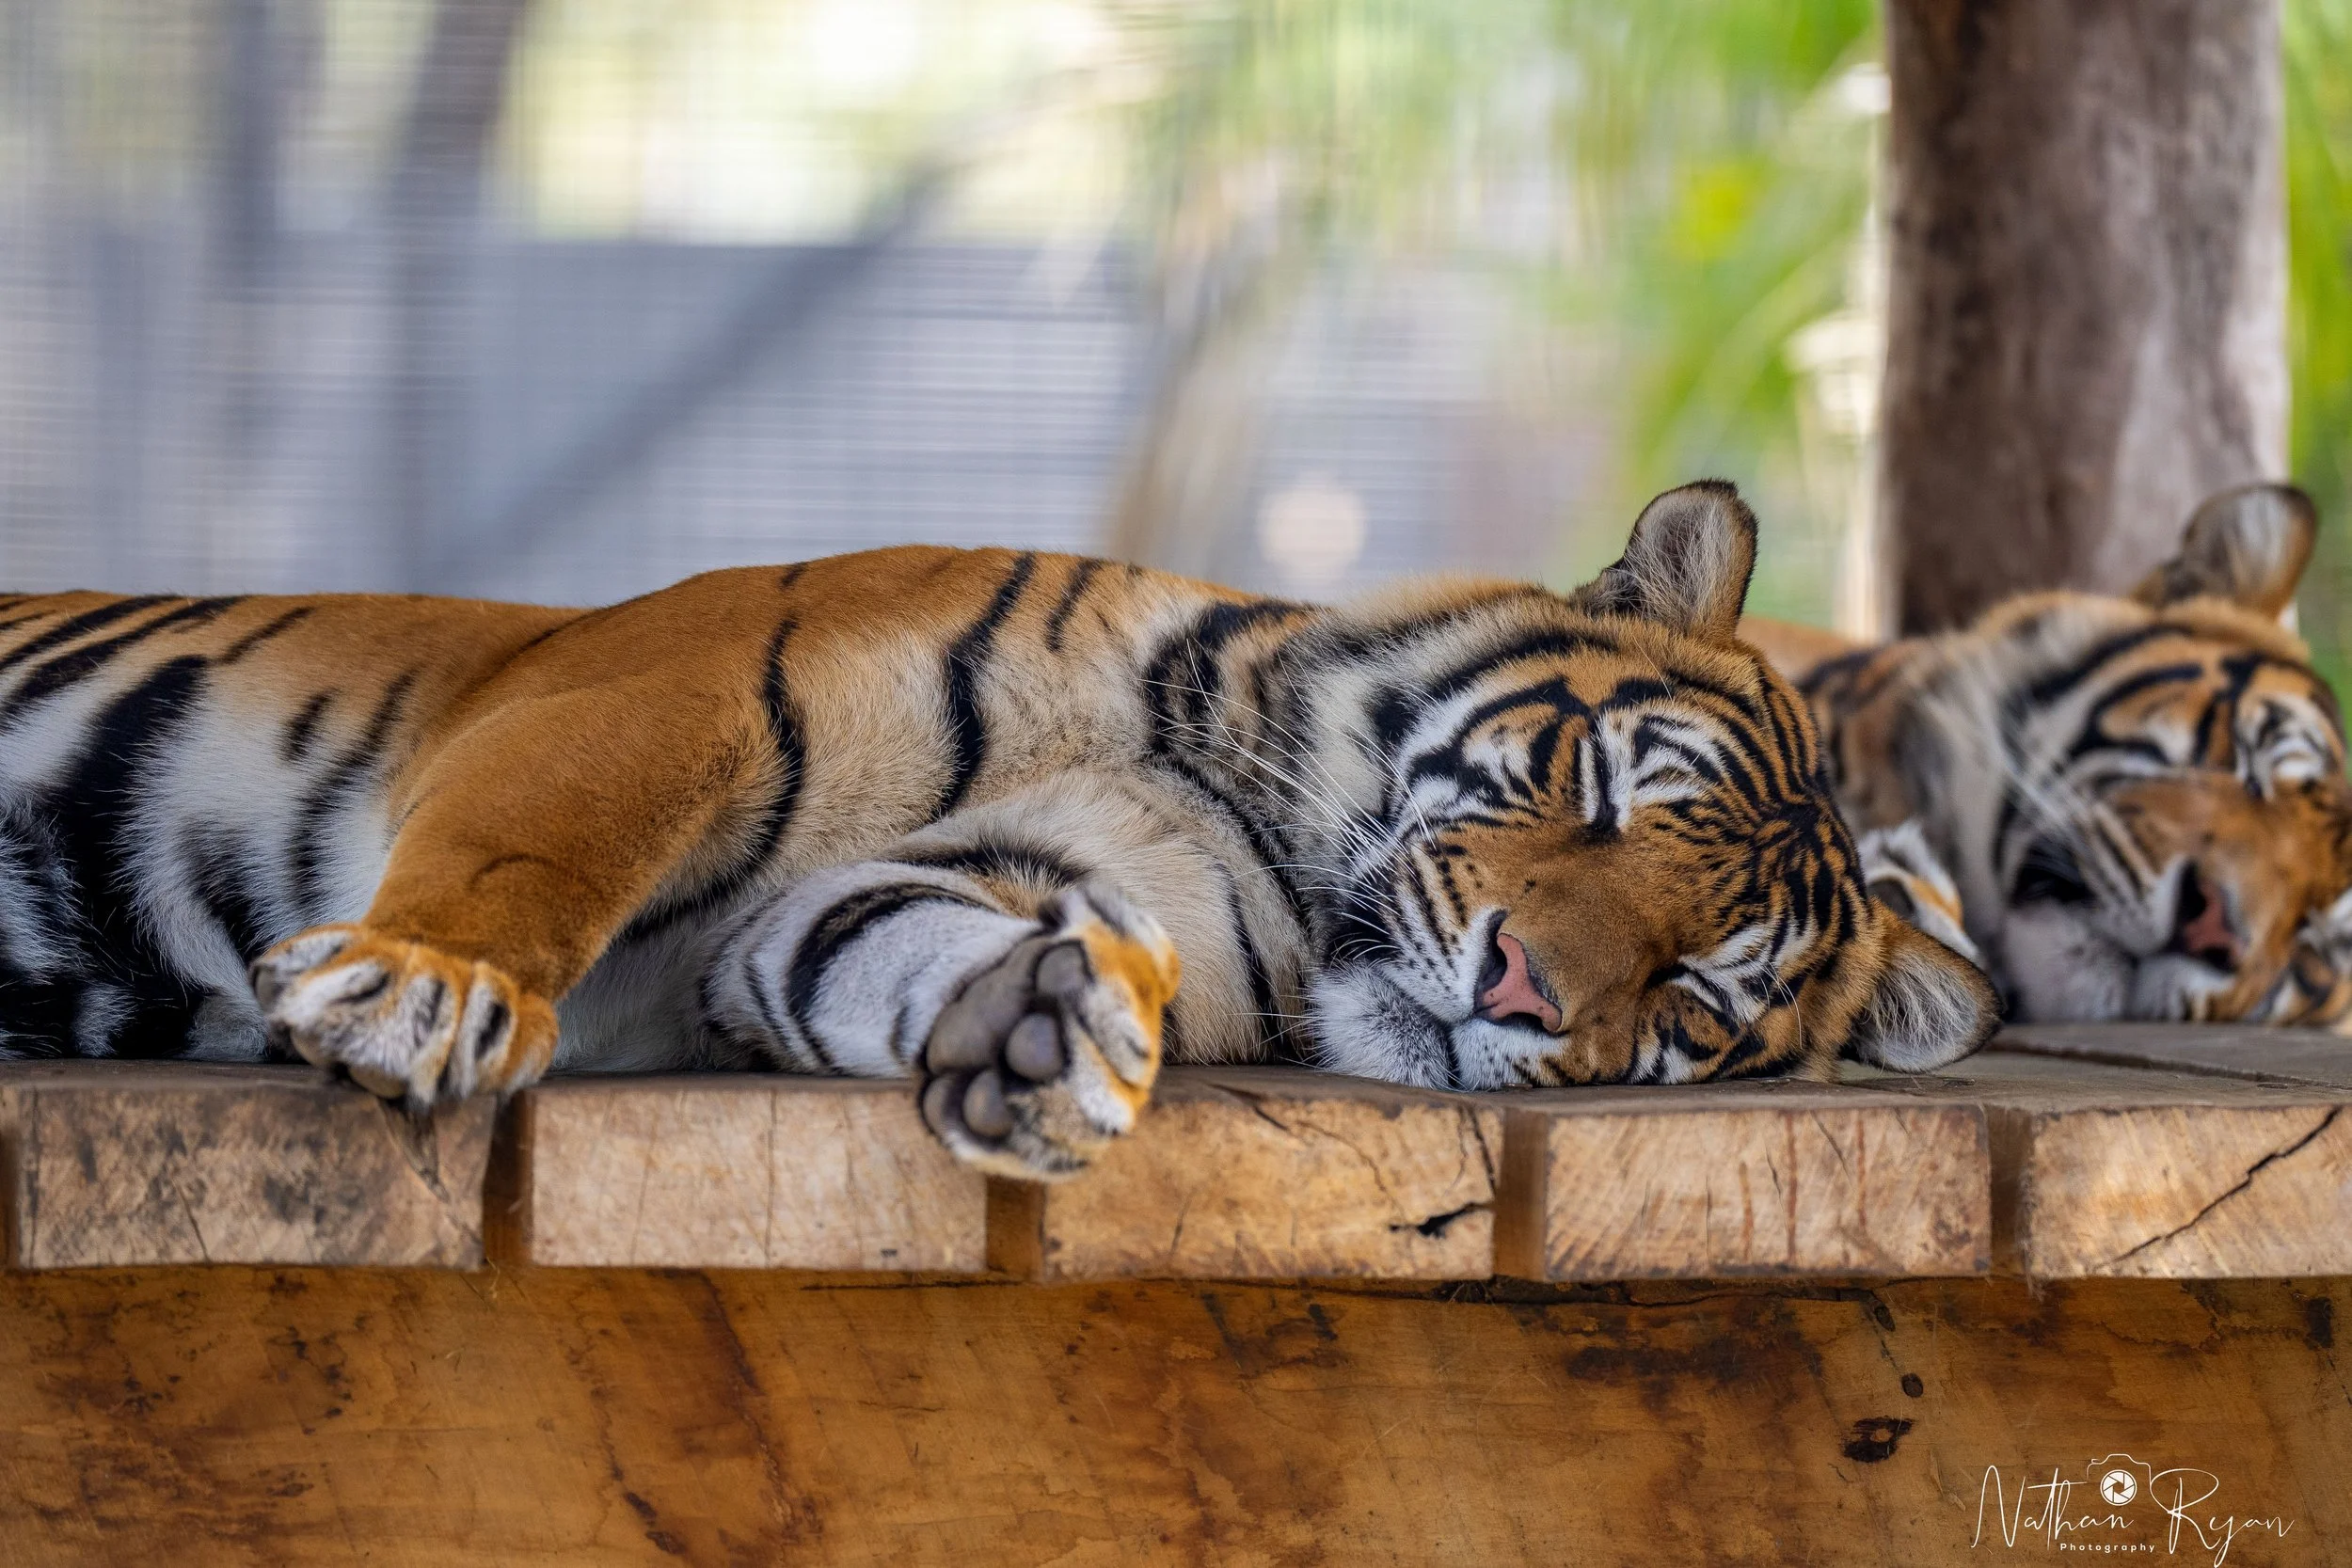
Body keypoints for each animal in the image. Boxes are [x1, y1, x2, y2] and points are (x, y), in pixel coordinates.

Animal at [0, 481, 1994, 1179]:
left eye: (1691, 1000)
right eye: (1592, 792)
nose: (1516, 986)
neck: (1251, 815)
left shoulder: (907, 903)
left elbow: (895, 940)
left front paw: (1044, 1028)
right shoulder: (669, 687)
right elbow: (533, 853)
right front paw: (423, 987)